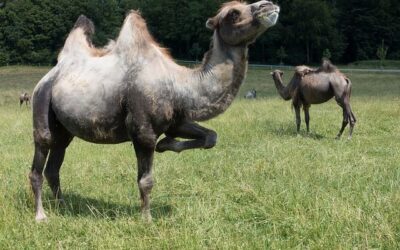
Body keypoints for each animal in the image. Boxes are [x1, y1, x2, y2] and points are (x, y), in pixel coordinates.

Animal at [30, 0, 282, 222]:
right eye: (233, 13)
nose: (269, 5)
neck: (179, 84)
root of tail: (52, 73)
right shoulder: (143, 131)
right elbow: (146, 180)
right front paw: (147, 218)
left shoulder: (176, 121)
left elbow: (211, 137)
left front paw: (167, 144)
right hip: (41, 102)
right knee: (39, 160)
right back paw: (41, 215)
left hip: (64, 129)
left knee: (54, 165)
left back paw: (63, 207)